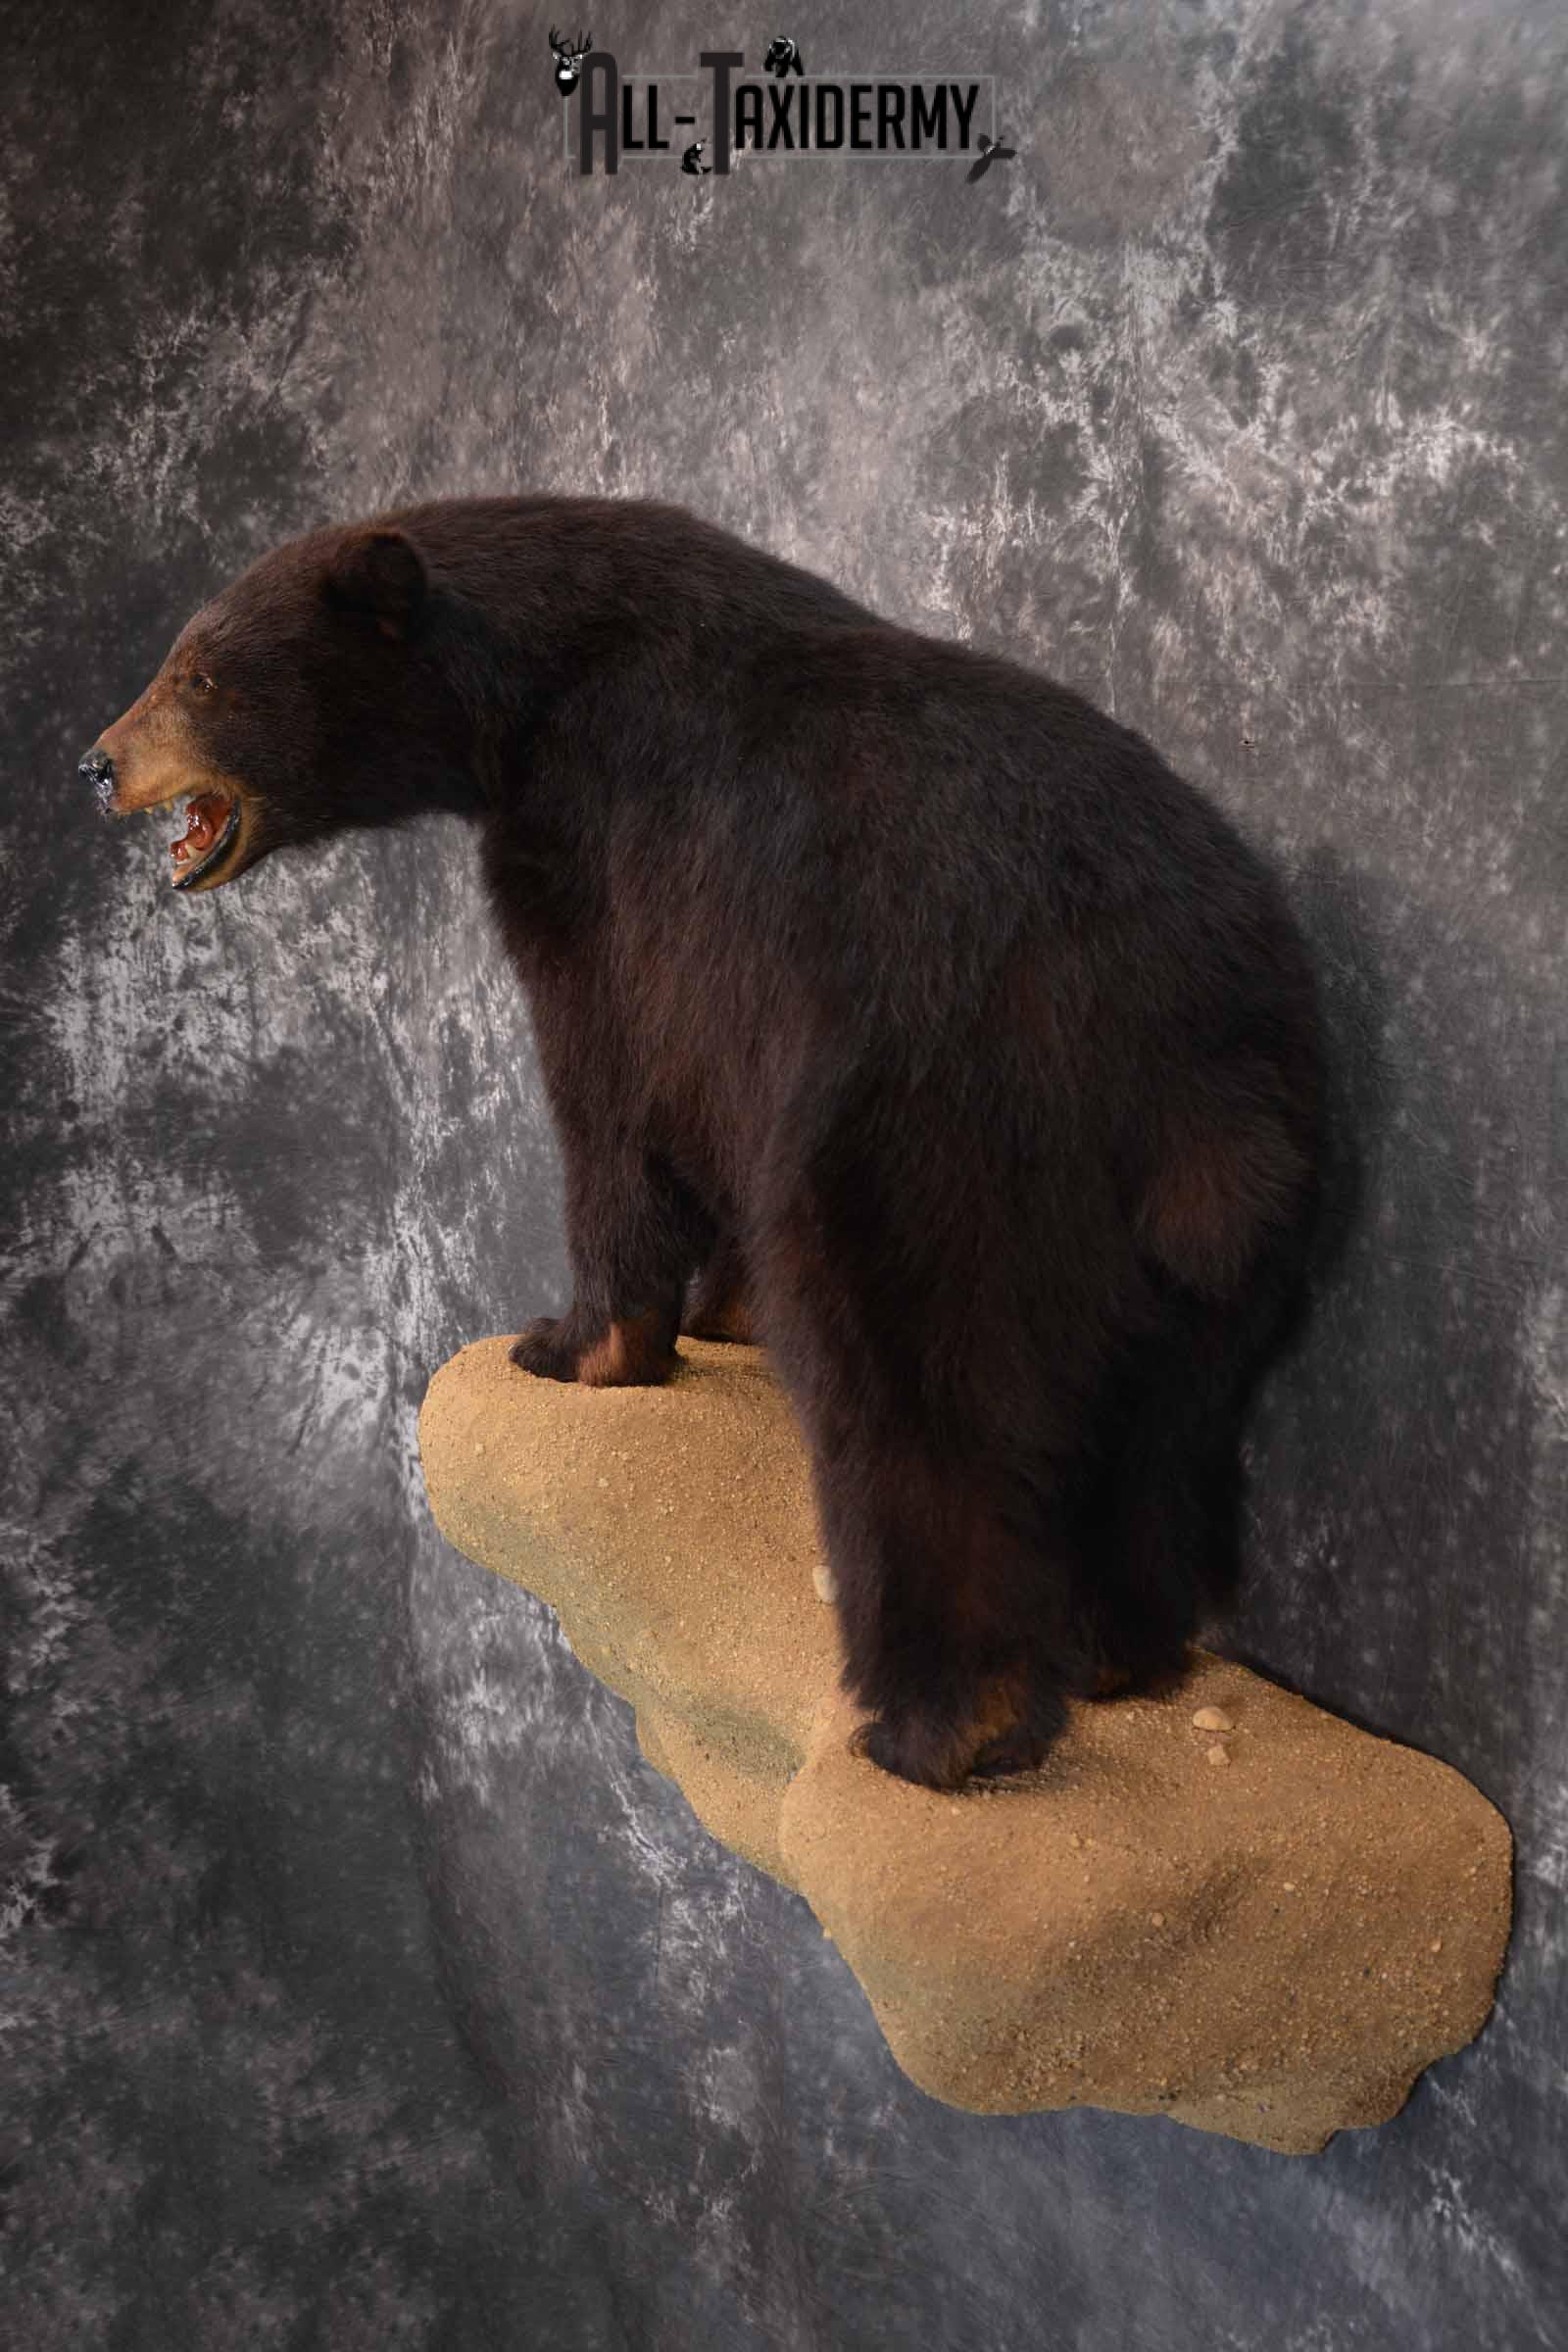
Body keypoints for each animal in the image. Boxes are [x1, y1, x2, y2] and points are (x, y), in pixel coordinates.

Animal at [81, 495, 1326, 1791]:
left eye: (201, 673)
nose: (96, 764)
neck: (534, 688)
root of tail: (1159, 1032)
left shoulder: (615, 874)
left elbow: (611, 1099)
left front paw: (573, 1341)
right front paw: (720, 1313)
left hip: (932, 1129)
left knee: (924, 1407)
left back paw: (932, 1726)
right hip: (1228, 1186)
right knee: (1166, 1424)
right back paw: (1112, 1656)